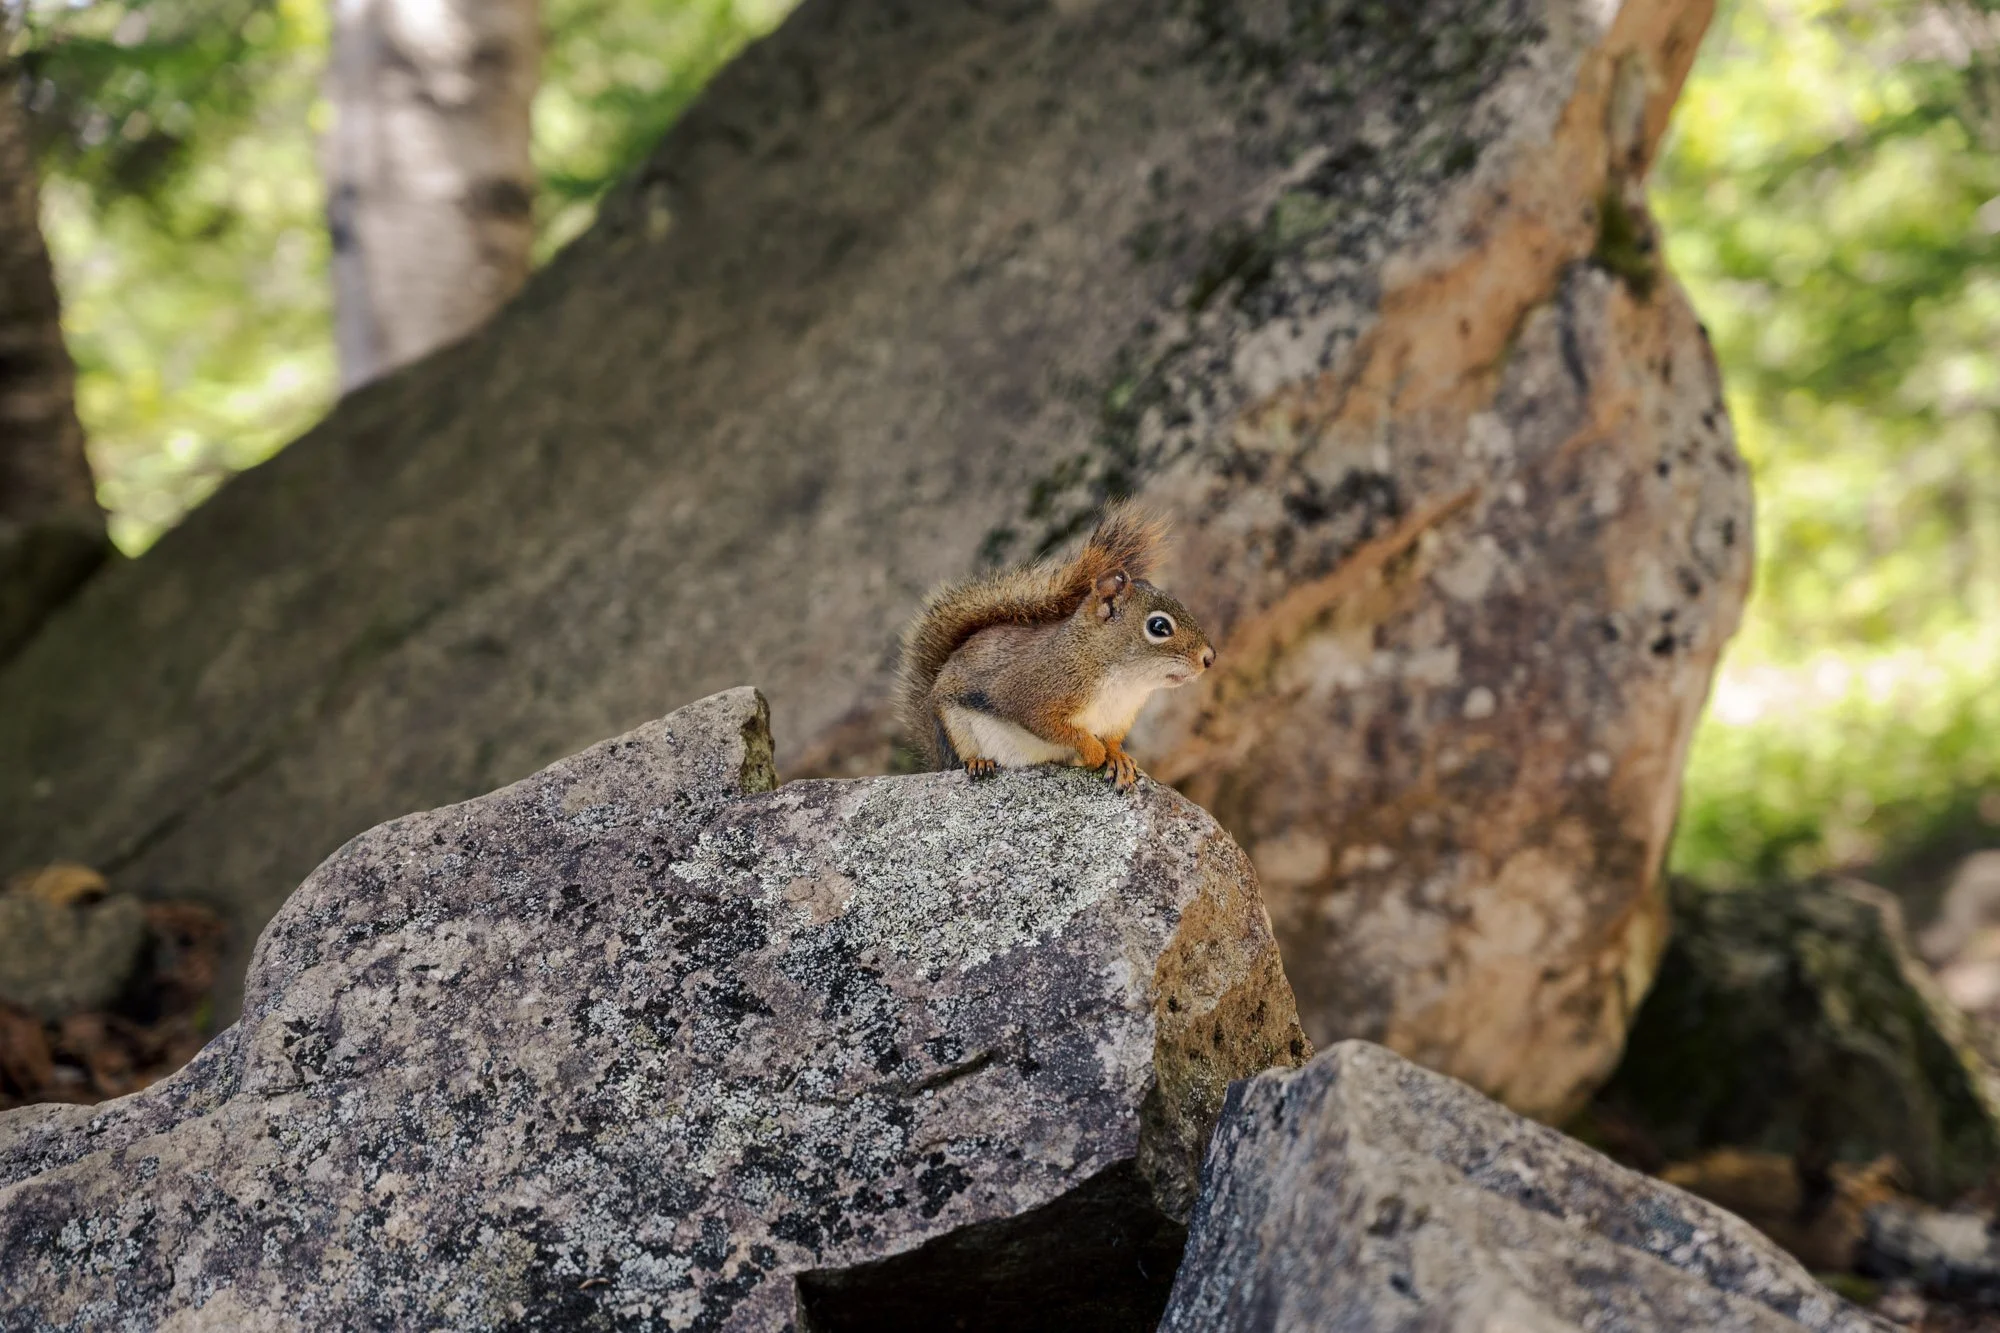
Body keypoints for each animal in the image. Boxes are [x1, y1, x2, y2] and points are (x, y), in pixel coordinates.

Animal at [896, 502, 1216, 792]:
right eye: (1158, 626)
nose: (1210, 658)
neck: (1123, 680)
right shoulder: (1037, 696)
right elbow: (1058, 729)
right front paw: (1093, 752)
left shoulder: (1118, 719)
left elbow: (1112, 740)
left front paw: (1118, 758)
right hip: (955, 724)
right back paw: (978, 761)